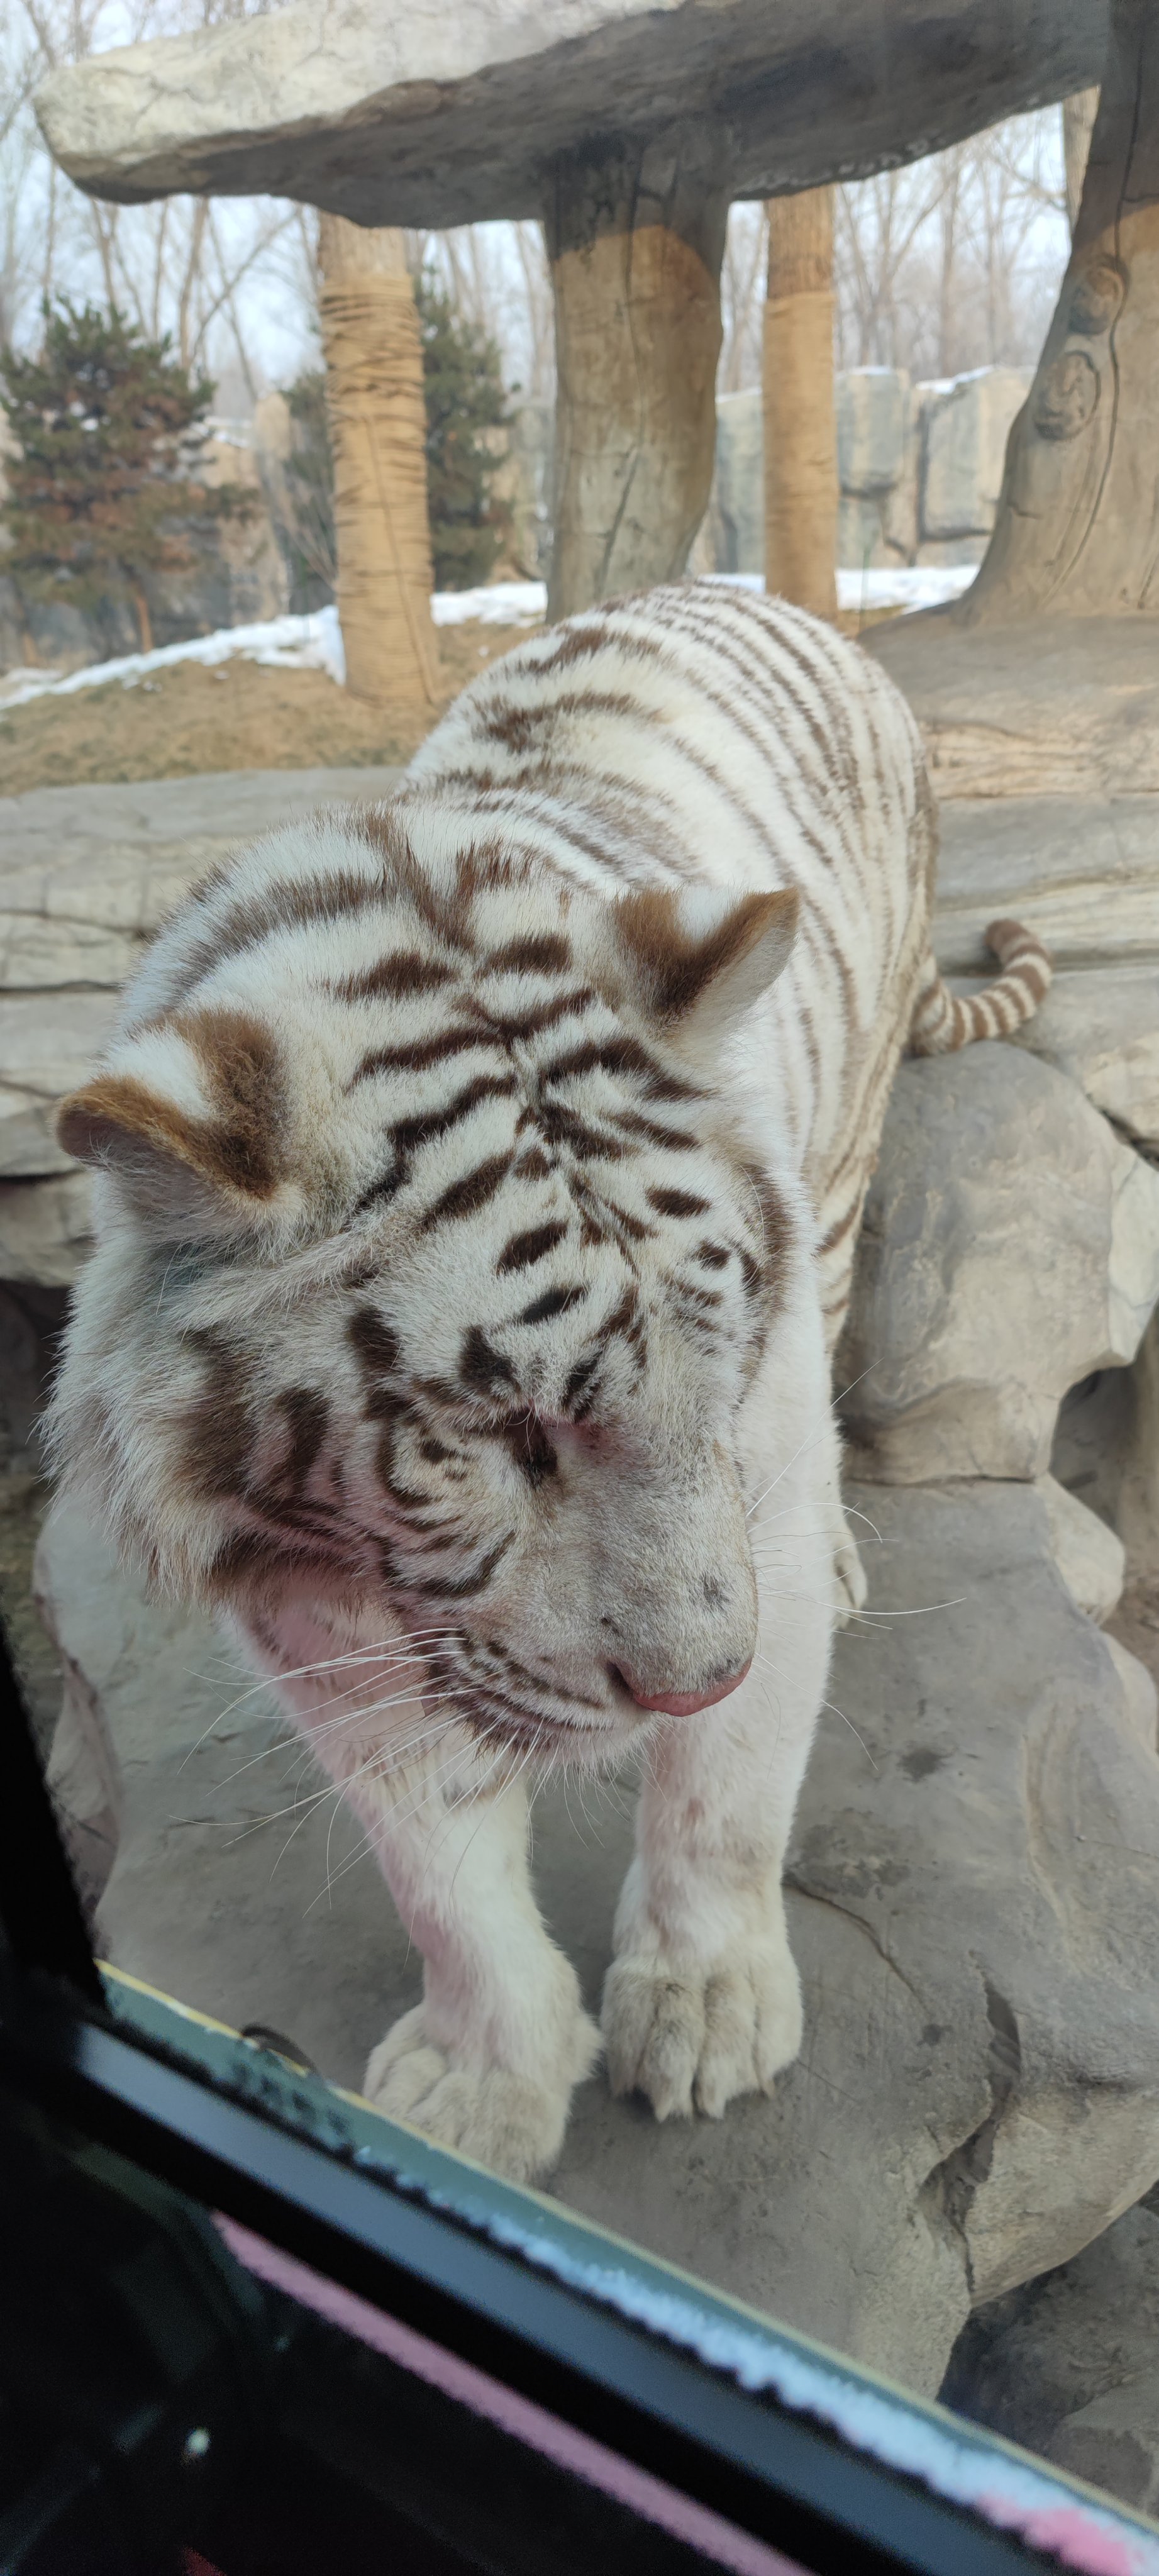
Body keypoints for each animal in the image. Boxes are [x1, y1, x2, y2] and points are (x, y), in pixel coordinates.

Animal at [52, 579, 1050, 2174]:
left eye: (715, 1367)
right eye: (500, 1429)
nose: (696, 1676)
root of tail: (756, 593)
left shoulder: (758, 1482)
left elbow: (727, 1795)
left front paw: (706, 2008)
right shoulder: (310, 1602)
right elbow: (434, 1862)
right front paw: (484, 2086)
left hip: (842, 1172)